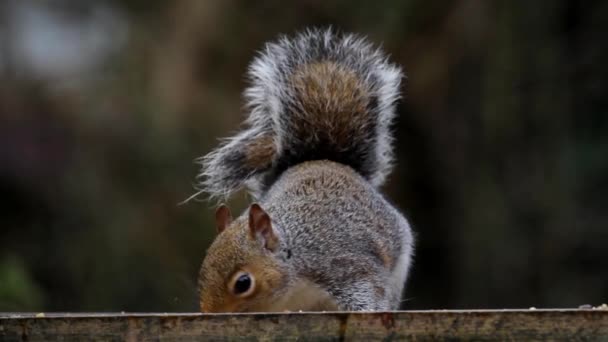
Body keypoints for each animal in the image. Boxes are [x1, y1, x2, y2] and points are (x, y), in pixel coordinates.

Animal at [197, 28, 416, 312]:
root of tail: (323, 160)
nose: (207, 314)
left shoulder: (342, 266)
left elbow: (367, 294)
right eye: (202, 276)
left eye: (243, 283)